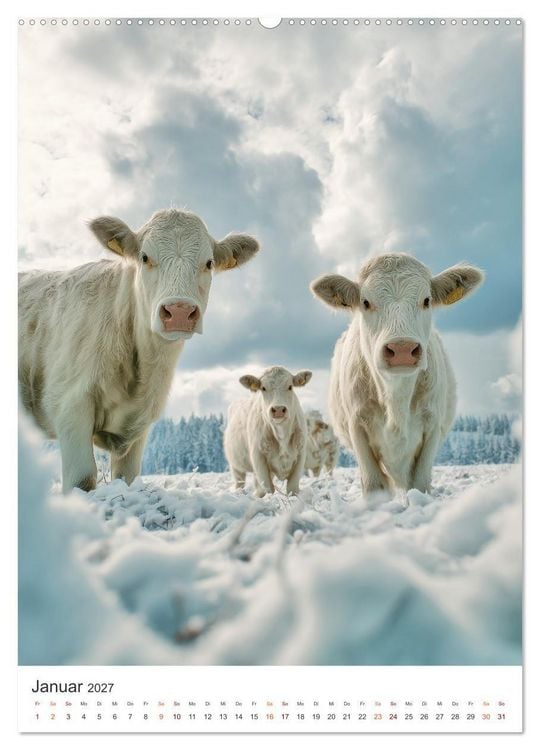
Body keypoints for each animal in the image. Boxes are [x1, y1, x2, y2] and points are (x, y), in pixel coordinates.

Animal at [19, 208, 260, 493]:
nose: (179, 311)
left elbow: (127, 478)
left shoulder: (139, 426)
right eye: (145, 257)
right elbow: (83, 479)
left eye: (209, 263)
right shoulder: (69, 404)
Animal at [224, 366, 312, 497]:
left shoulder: (301, 454)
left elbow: (292, 488)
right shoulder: (258, 456)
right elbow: (268, 488)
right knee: (240, 481)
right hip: (235, 466)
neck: (282, 436)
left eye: (290, 386)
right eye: (263, 388)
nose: (279, 409)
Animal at [310, 253, 484, 496]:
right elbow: (373, 485)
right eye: (365, 302)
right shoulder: (357, 428)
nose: (402, 349)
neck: (396, 400)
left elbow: (420, 483)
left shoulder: (433, 426)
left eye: (427, 300)